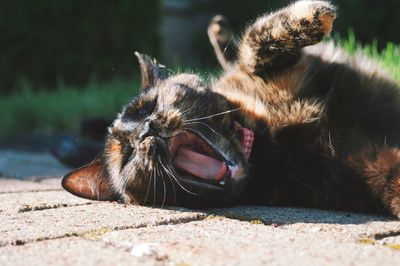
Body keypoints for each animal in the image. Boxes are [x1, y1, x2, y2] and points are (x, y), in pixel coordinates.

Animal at [61, 0, 400, 218]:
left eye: (150, 107)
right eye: (128, 153)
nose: (148, 129)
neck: (267, 145)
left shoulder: (293, 68)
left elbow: (253, 44)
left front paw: (313, 15)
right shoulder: (359, 163)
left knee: (233, 52)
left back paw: (218, 28)